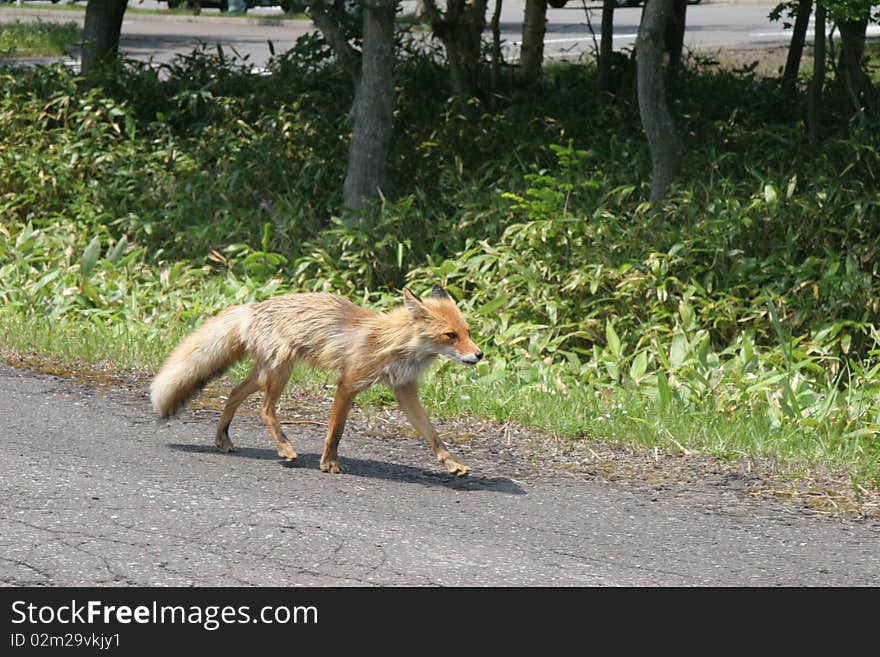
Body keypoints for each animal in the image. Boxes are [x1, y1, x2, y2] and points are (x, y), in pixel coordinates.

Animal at [151, 284, 482, 474]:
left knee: (234, 392)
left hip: (266, 373)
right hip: (280, 371)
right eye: (450, 335)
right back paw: (285, 448)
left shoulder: (404, 390)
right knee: (264, 409)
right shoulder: (348, 383)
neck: (393, 343)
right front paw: (329, 463)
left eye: (467, 332)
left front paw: (452, 464)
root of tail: (253, 307)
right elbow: (335, 431)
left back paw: (223, 438)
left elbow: (433, 435)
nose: (479, 355)